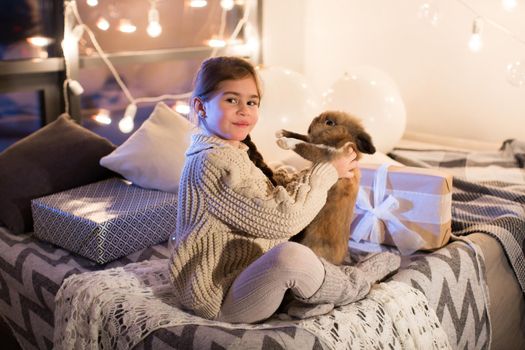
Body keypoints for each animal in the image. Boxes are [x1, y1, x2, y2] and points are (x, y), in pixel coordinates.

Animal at [276, 110, 374, 264]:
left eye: (330, 122)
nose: (310, 128)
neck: (343, 139)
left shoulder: (326, 155)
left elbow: (304, 145)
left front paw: (284, 141)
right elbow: (304, 137)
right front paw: (281, 132)